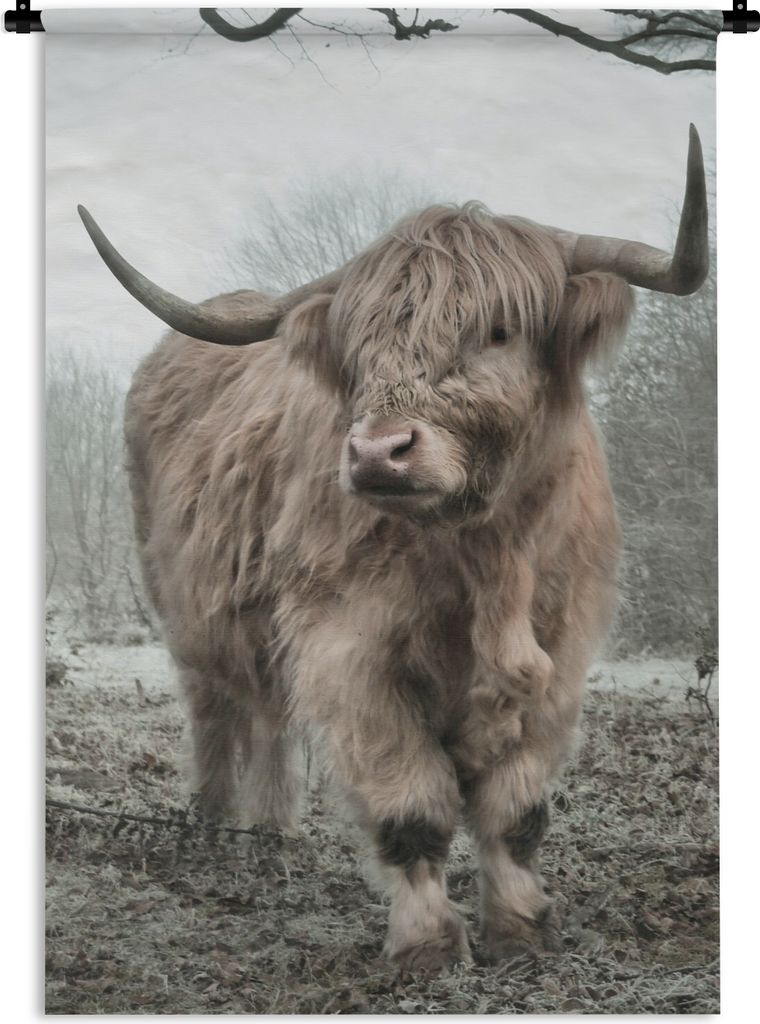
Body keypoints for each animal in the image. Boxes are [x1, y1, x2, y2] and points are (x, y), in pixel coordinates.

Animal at [78, 125, 708, 972]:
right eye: (361, 345)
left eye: (499, 330)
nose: (379, 453)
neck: (484, 558)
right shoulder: (351, 651)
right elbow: (412, 807)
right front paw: (429, 946)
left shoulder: (561, 650)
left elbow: (517, 812)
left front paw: (522, 930)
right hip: (185, 610)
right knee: (217, 712)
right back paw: (213, 831)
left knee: (270, 720)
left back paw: (270, 836)